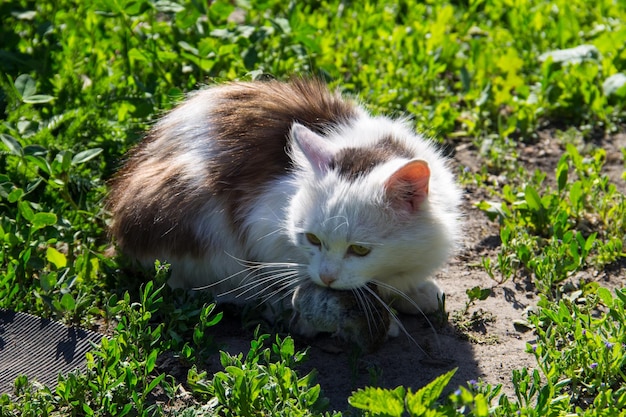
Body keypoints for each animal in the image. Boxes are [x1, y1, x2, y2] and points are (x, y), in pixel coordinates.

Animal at [106, 79, 458, 338]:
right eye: (312, 239)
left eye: (360, 249)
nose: (327, 277)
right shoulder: (260, 224)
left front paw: (415, 292)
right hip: (198, 219)